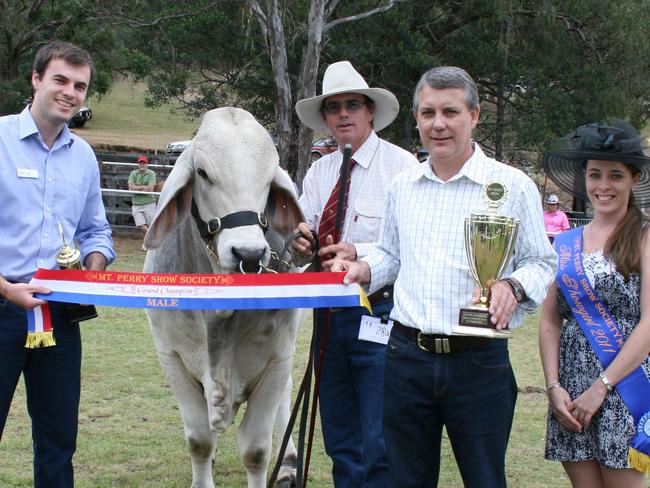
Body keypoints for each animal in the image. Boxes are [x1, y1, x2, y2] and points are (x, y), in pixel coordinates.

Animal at [143, 107, 302, 488]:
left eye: (270, 177)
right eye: (202, 173)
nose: (249, 254)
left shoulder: (277, 359)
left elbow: (256, 451)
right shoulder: (172, 358)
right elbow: (200, 441)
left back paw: (288, 463)